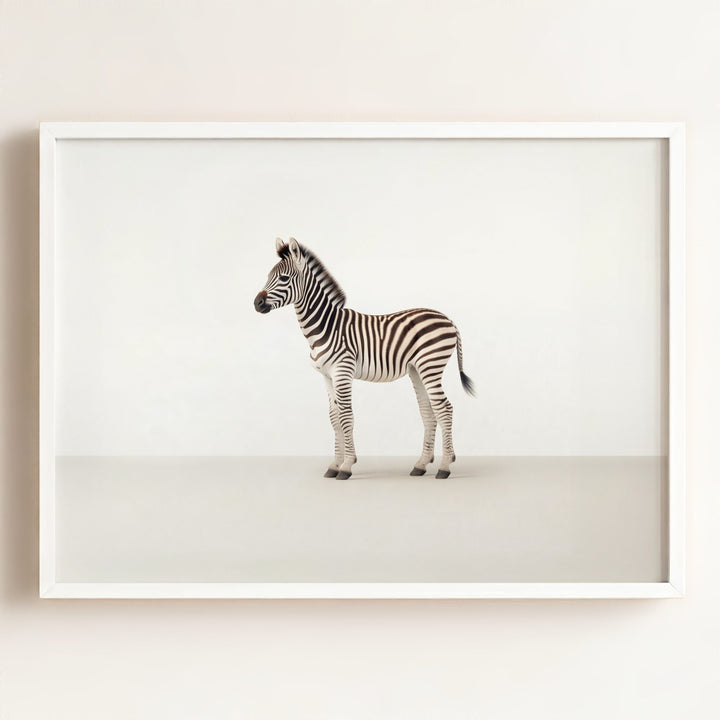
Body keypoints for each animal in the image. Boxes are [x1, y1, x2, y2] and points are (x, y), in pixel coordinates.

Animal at [254, 237, 475, 480]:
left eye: (284, 278)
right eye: (268, 276)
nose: (256, 303)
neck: (325, 326)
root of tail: (448, 319)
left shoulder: (342, 371)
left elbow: (346, 416)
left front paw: (347, 466)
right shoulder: (326, 376)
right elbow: (334, 417)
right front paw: (334, 465)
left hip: (431, 364)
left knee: (444, 409)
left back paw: (445, 466)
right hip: (417, 369)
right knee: (428, 410)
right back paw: (421, 464)